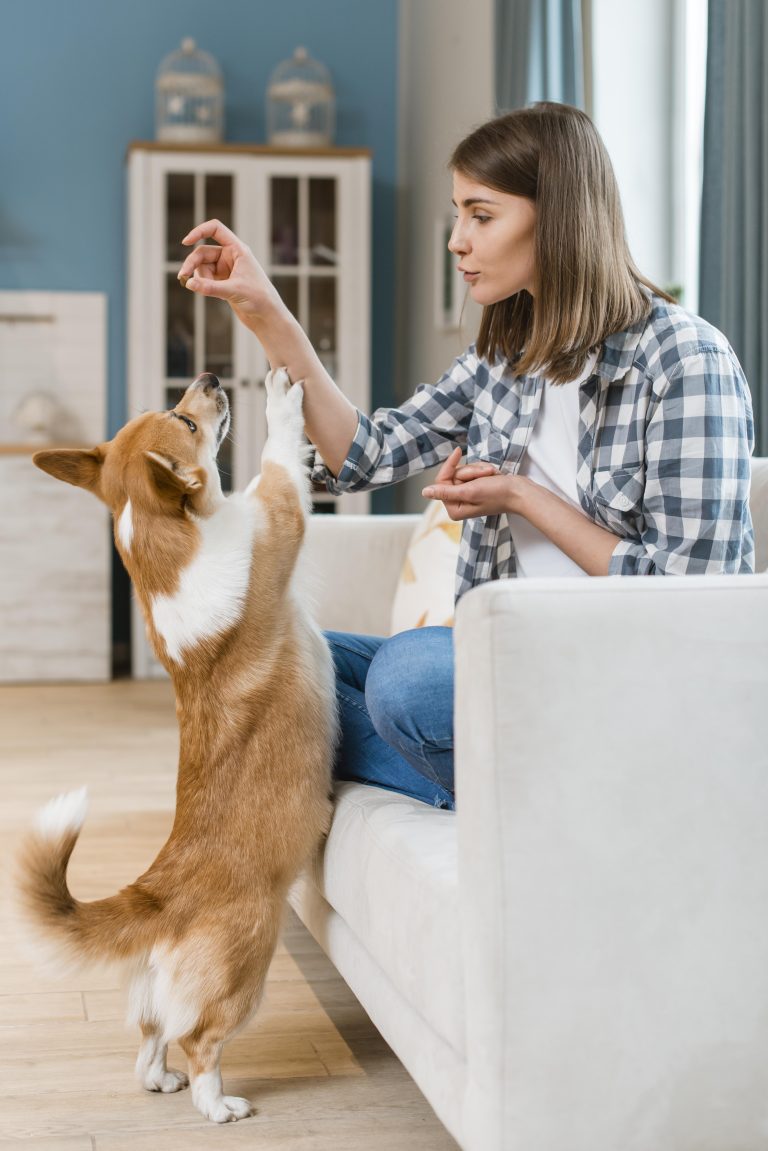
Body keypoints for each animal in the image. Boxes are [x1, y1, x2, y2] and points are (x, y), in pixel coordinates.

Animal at [15, 368, 338, 1123]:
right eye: (186, 422)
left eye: (173, 409)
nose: (212, 376)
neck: (169, 541)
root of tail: (158, 895)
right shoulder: (278, 517)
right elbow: (277, 462)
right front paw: (283, 400)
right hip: (247, 970)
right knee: (199, 1039)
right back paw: (217, 1104)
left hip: (160, 994)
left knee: (150, 1033)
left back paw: (160, 1079)